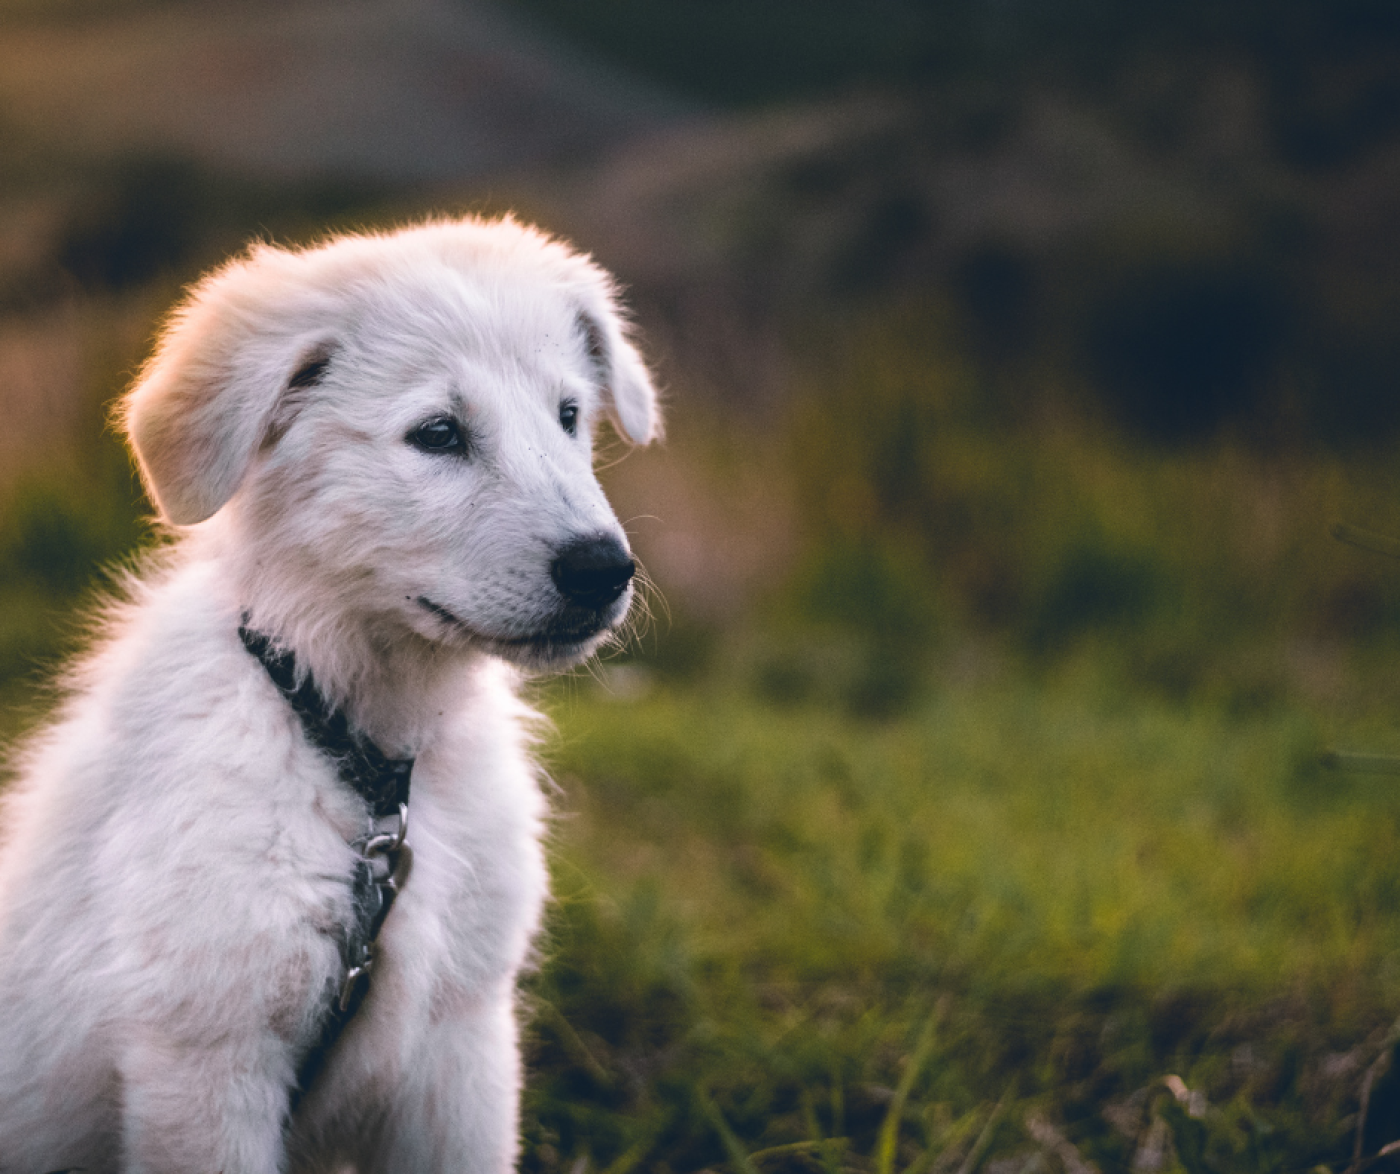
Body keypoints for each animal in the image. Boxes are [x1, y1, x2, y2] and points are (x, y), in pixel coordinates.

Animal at [0, 218, 660, 1174]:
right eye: (438, 434)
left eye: (570, 416)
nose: (605, 571)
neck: (361, 757)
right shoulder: (207, 1057)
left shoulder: (462, 1041)